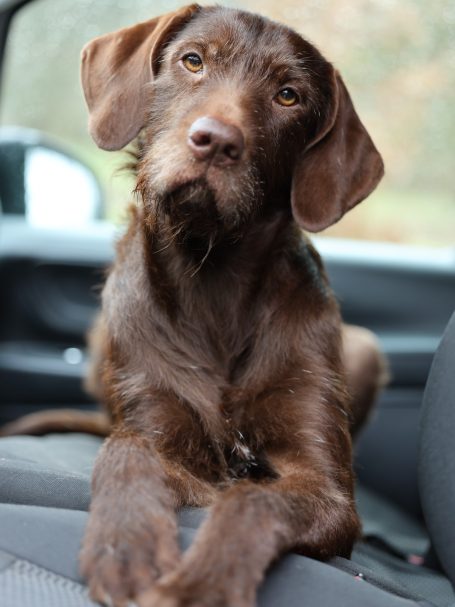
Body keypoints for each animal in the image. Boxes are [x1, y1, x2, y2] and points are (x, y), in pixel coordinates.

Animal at [0, 4, 386, 607]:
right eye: (193, 60)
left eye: (289, 95)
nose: (216, 140)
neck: (213, 277)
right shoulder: (154, 424)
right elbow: (125, 449)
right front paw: (125, 544)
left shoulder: (326, 492)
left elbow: (252, 498)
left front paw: (204, 583)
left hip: (363, 349)